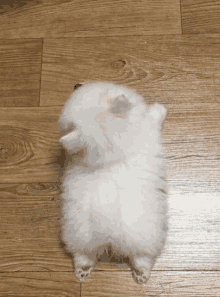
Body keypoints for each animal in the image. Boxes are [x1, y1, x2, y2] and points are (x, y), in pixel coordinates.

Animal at [57, 80, 168, 282]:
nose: (77, 84)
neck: (110, 156)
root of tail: (107, 231)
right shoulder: (149, 127)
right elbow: (153, 116)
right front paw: (159, 108)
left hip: (80, 235)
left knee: (82, 255)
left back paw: (82, 272)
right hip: (147, 237)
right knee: (143, 258)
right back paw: (142, 276)